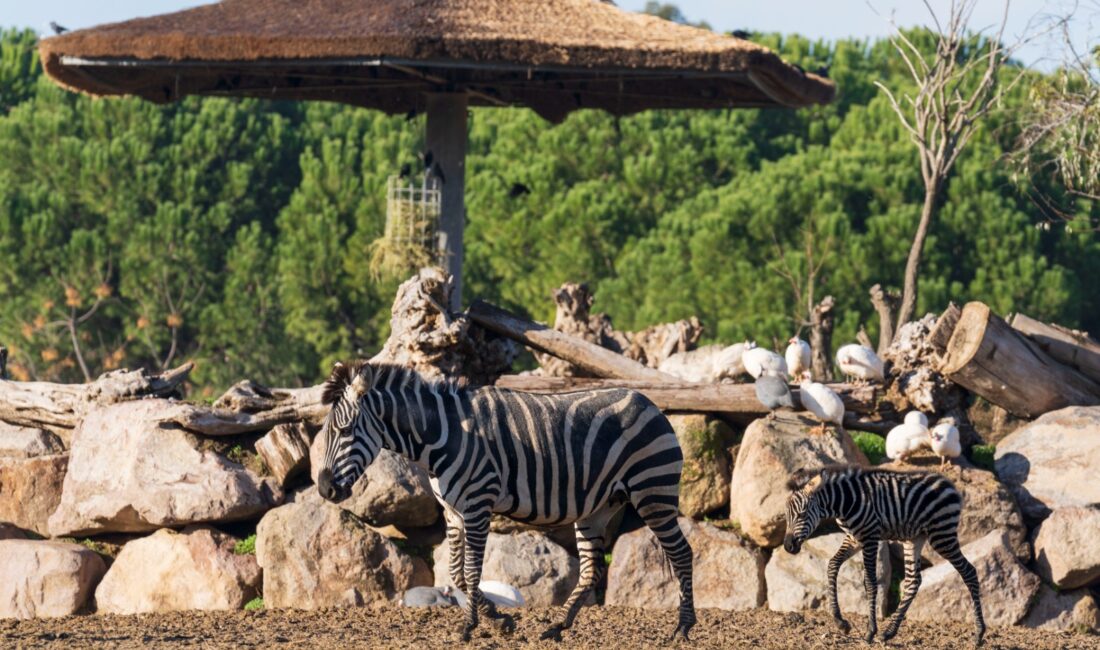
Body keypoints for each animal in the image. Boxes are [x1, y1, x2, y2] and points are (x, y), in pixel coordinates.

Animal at [314, 360, 690, 642]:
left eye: (345, 431)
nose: (324, 489)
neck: (442, 436)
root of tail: (648, 401)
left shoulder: (477, 506)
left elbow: (470, 571)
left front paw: (470, 626)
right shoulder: (453, 514)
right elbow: (456, 573)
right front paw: (498, 621)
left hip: (653, 492)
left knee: (681, 553)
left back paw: (683, 628)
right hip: (598, 507)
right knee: (591, 568)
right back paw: (557, 626)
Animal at [783, 468, 990, 646]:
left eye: (801, 514)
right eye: (786, 516)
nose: (787, 546)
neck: (847, 502)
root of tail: (949, 484)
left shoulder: (870, 537)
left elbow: (870, 582)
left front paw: (870, 632)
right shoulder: (854, 538)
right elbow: (833, 565)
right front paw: (840, 622)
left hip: (942, 535)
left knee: (969, 572)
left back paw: (979, 634)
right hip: (914, 538)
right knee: (913, 580)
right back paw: (889, 632)